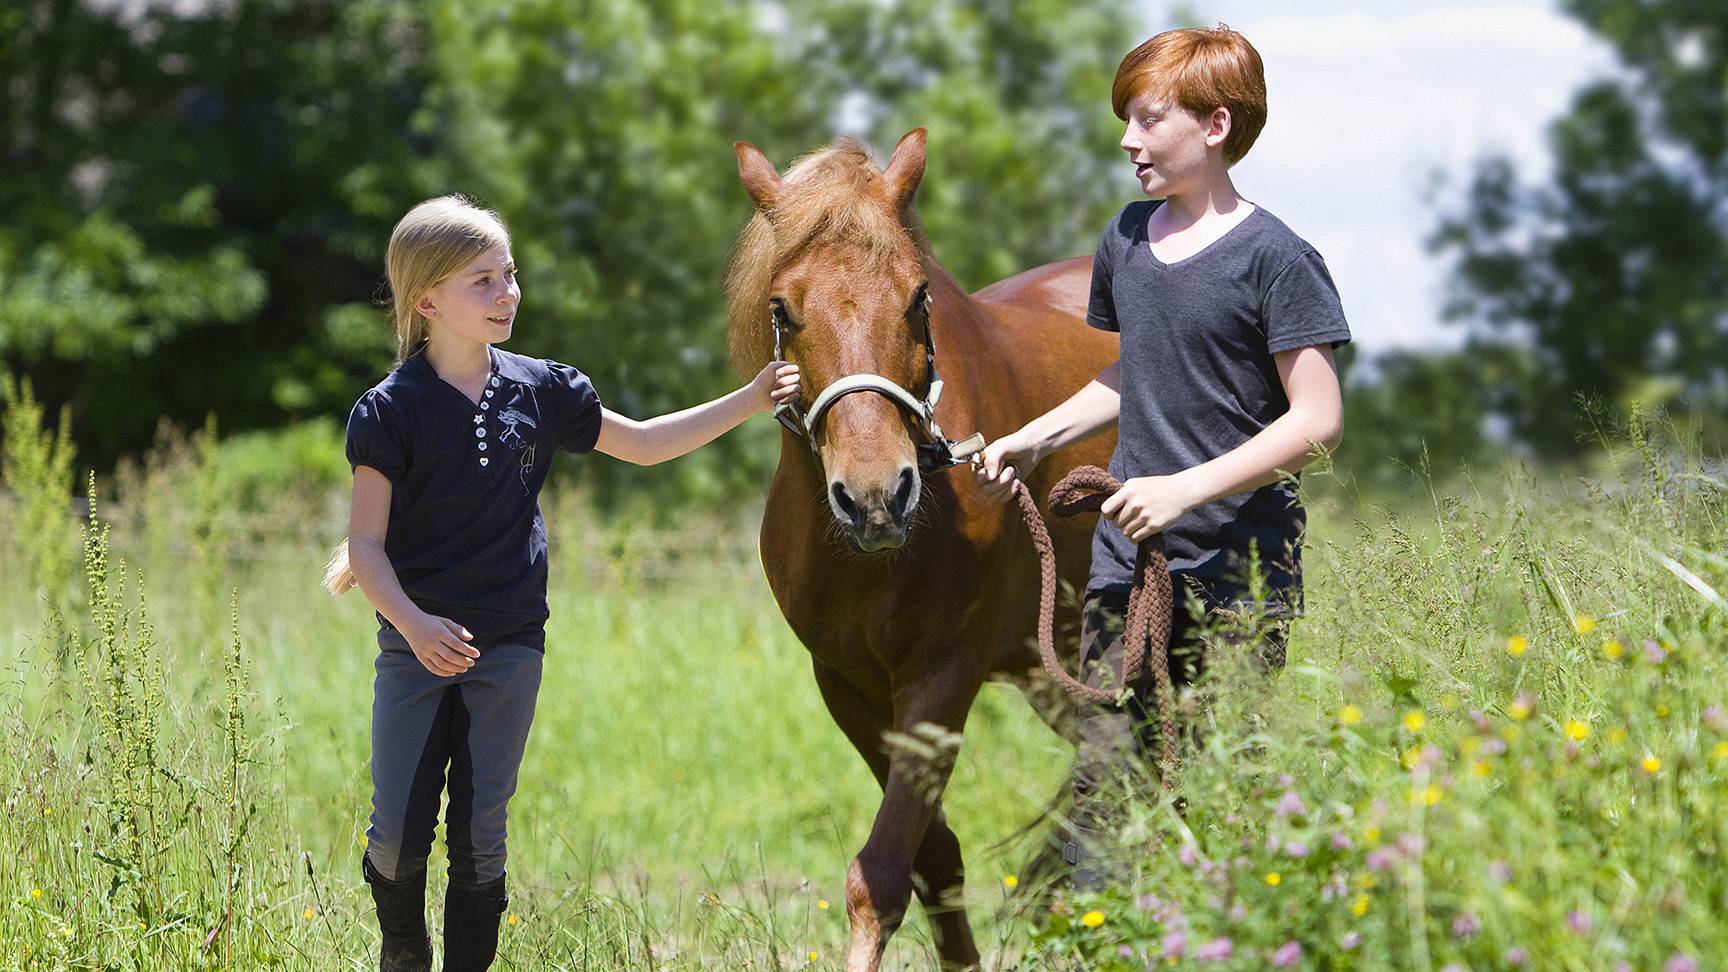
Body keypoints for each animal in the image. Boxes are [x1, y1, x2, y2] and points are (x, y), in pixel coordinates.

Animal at [728, 128, 1118, 971]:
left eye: (917, 298)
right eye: (782, 307)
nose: (877, 494)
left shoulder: (943, 673)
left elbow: (879, 874)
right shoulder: (848, 685)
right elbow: (932, 859)